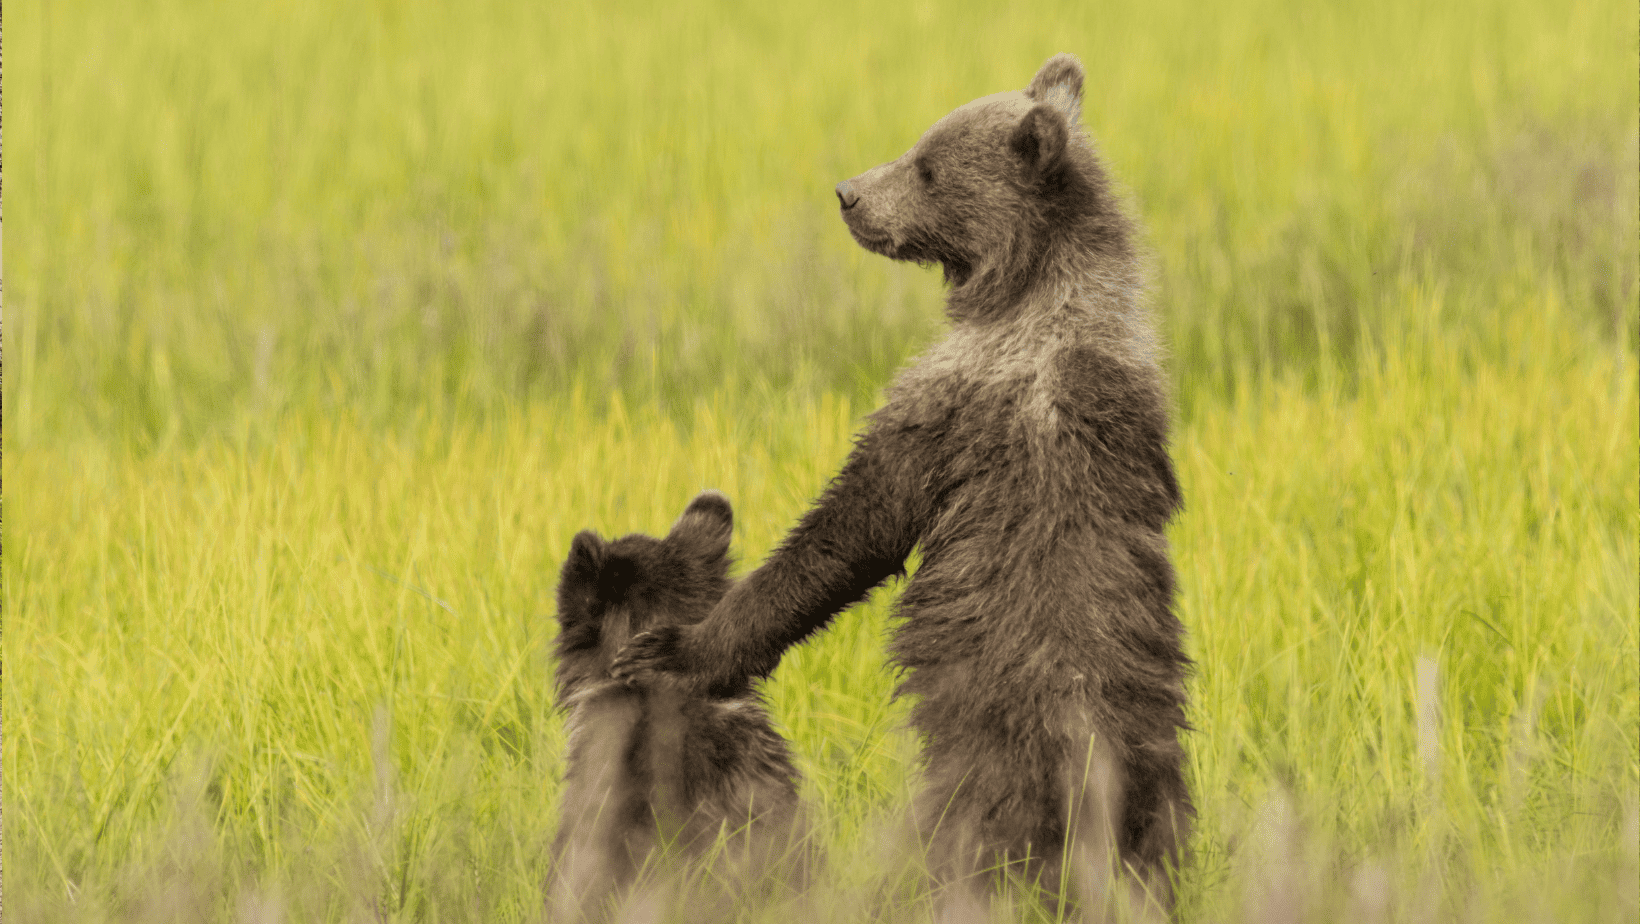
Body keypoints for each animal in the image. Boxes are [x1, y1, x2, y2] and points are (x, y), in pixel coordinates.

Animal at [613, 54, 1191, 918]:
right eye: (919, 143)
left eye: (926, 166)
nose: (848, 192)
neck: (1032, 297)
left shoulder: (949, 411)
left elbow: (850, 529)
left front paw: (673, 648)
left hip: (968, 791)